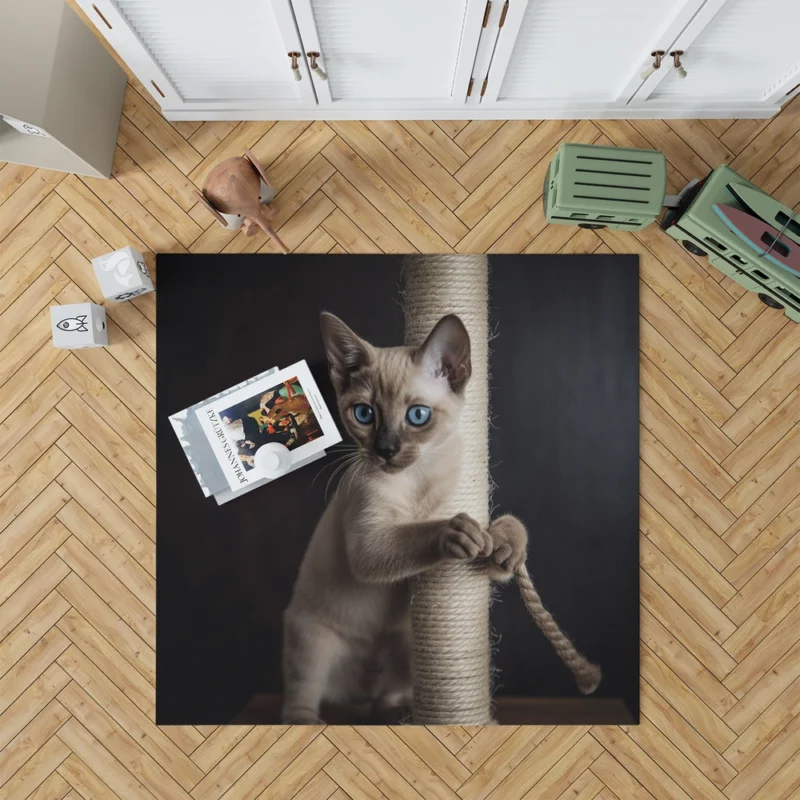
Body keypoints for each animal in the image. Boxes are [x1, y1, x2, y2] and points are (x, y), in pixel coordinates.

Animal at [282, 312, 524, 724]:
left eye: (418, 416)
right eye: (364, 414)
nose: (386, 450)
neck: (419, 478)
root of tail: (358, 694)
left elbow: (502, 536)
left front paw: (508, 544)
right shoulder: (370, 543)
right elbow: (420, 531)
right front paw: (456, 532)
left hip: (403, 641)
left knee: (386, 692)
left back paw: (396, 705)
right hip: (311, 639)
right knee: (300, 695)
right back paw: (309, 721)